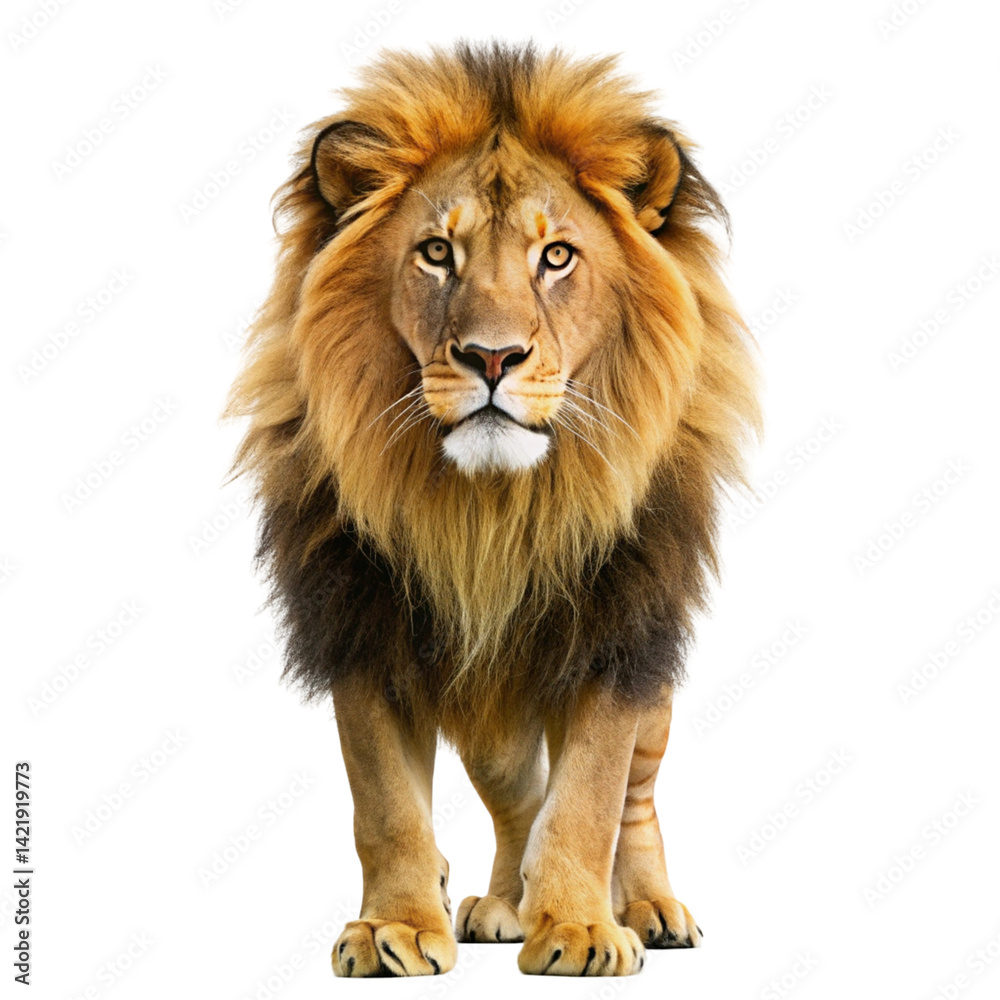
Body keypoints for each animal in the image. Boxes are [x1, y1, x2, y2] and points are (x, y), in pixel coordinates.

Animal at [226, 42, 760, 977]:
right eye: (438, 252)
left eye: (558, 257)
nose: (492, 356)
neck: (491, 510)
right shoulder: (362, 626)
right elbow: (388, 807)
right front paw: (398, 927)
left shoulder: (616, 630)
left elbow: (589, 799)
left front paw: (582, 931)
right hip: (491, 719)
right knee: (520, 795)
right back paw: (504, 905)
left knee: (632, 796)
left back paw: (647, 909)